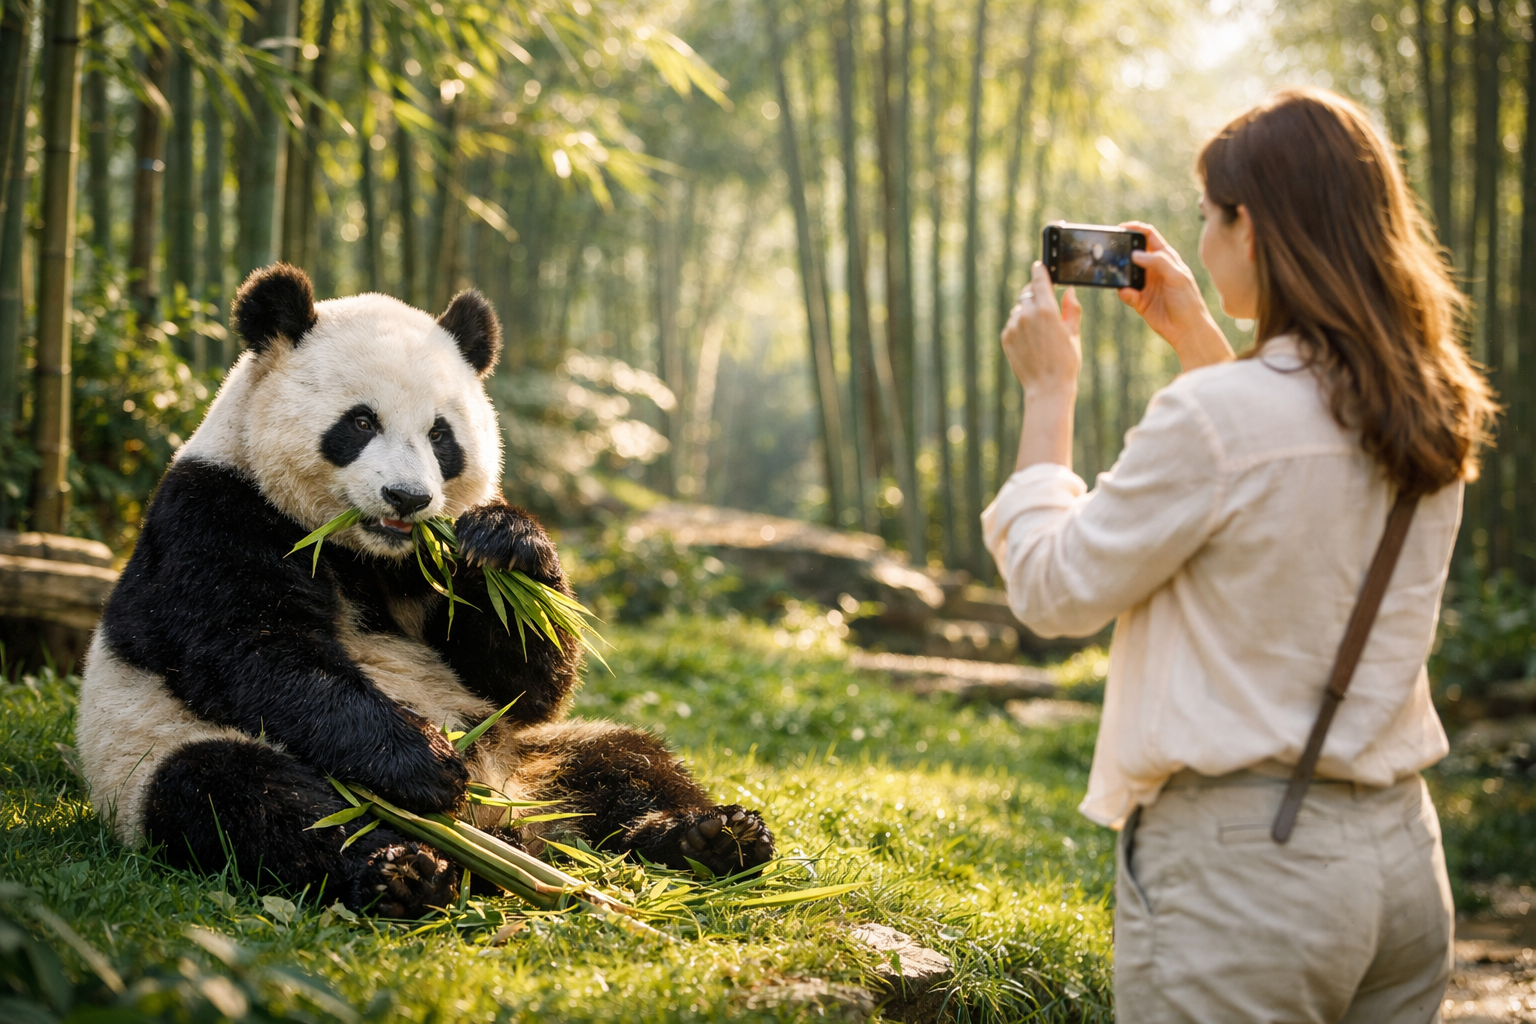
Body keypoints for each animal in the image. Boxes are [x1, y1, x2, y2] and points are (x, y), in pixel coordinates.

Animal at [76, 264, 774, 917]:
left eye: (441, 435)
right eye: (360, 422)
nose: (408, 498)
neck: (367, 554)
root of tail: (508, 820)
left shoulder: (432, 573)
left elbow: (521, 679)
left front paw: (507, 545)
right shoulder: (214, 513)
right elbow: (256, 652)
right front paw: (424, 762)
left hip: (531, 757)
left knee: (626, 760)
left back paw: (715, 837)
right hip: (157, 752)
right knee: (249, 800)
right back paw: (406, 870)